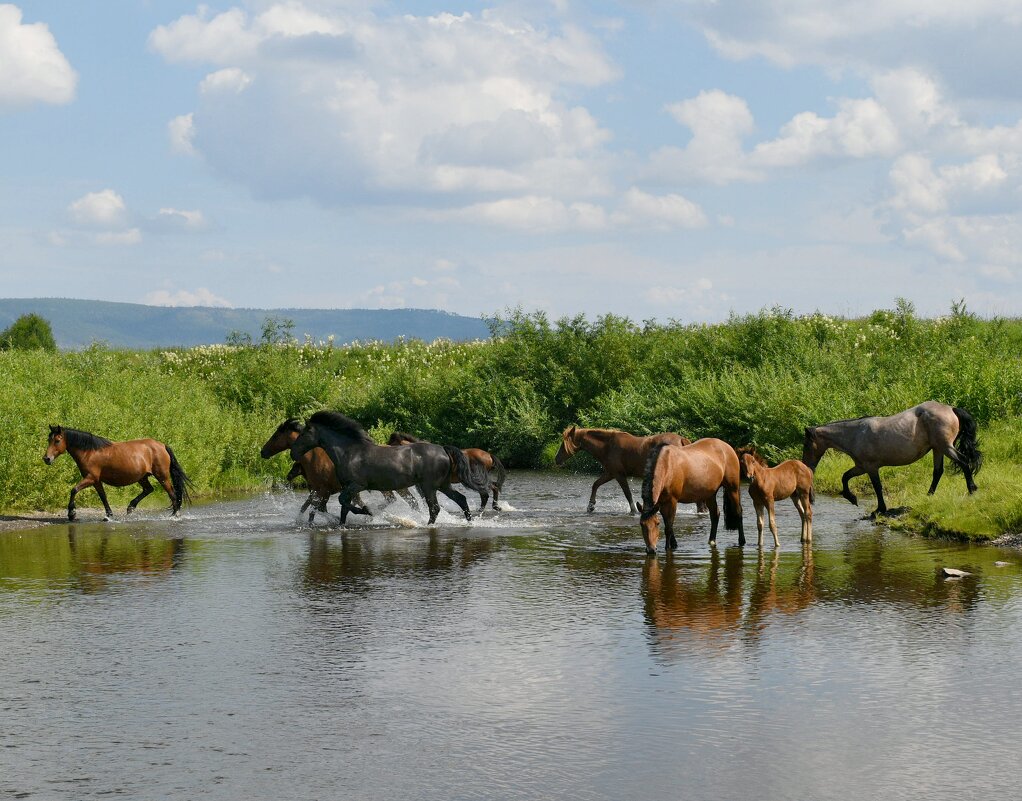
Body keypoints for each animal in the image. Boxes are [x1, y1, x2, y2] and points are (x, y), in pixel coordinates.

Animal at [44, 422, 192, 523]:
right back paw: (131, 507)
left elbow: (74, 490)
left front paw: (72, 513)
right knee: (149, 489)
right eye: (49, 440)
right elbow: (103, 497)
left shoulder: (91, 478)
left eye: (57, 440)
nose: (46, 458)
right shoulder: (96, 481)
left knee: (172, 494)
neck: (90, 452)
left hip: (162, 476)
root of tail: (162, 445)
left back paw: (175, 516)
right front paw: (108, 515)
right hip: (142, 477)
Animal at [288, 412, 486, 527]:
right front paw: (342, 525)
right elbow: (344, 507)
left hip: (429, 486)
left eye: (303, 433)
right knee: (460, 499)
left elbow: (343, 502)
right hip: (443, 485)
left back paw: (426, 525)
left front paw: (368, 512)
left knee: (435, 508)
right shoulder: (348, 487)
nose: (292, 452)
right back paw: (470, 522)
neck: (349, 452)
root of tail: (443, 449)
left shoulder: (356, 485)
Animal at [555, 425, 699, 512]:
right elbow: (595, 484)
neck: (607, 446)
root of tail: (681, 440)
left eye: (563, 444)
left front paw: (633, 510)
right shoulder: (610, 473)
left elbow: (627, 493)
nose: (556, 459)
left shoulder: (618, 474)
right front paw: (591, 505)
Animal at [805, 400, 981, 519]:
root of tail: (951, 408)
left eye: (807, 444)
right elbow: (845, 477)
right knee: (938, 472)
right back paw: (928, 496)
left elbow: (877, 487)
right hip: (938, 449)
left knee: (964, 462)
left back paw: (972, 490)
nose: (807, 466)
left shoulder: (870, 467)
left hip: (945, 447)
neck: (856, 434)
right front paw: (852, 498)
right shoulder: (861, 467)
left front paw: (879, 509)